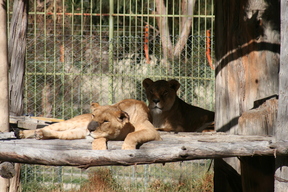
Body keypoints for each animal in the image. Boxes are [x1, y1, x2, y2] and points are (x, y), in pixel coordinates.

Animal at [16, 99, 160, 150]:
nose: (89, 128)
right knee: (50, 127)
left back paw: (40, 134)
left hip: (75, 132)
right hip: (70, 124)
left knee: (59, 134)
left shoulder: (153, 132)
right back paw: (23, 133)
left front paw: (127, 148)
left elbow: (132, 135)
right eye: (93, 115)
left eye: (106, 121)